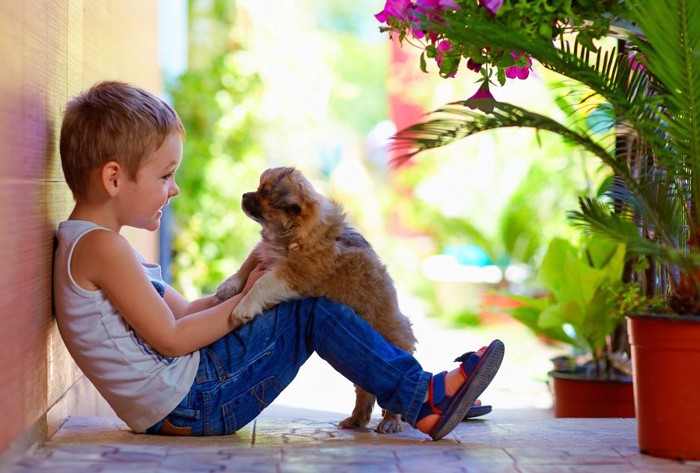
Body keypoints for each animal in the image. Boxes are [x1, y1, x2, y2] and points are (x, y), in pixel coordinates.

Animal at [216, 166, 418, 432]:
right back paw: (355, 420)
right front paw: (228, 287)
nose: (243, 195)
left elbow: (260, 283)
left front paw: (243, 307)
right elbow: (248, 263)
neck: (292, 232)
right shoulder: (265, 252)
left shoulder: (294, 274)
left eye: (264, 192)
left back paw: (389, 423)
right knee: (364, 393)